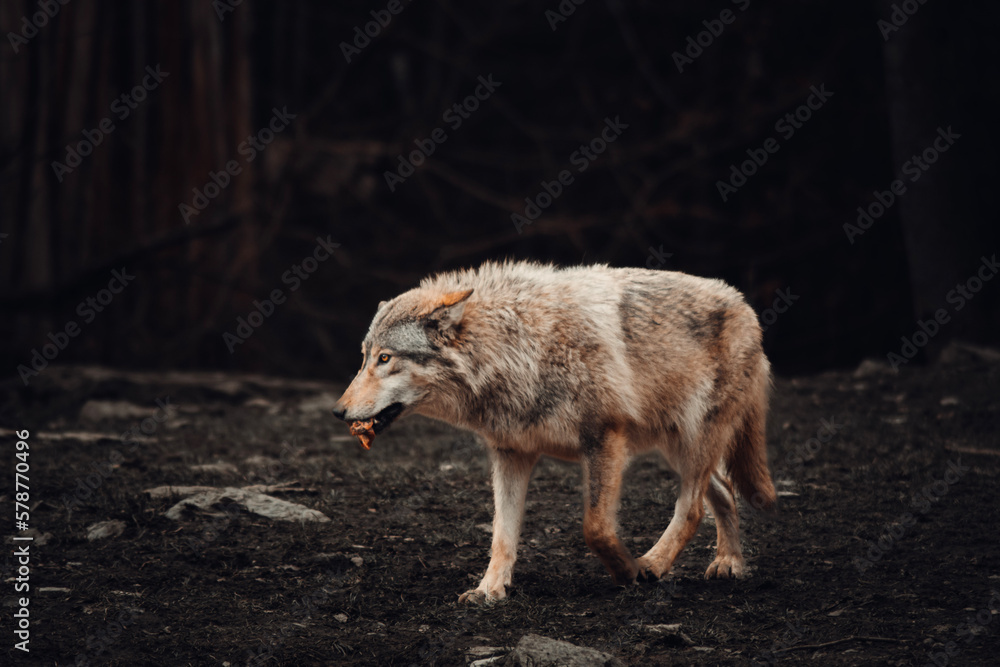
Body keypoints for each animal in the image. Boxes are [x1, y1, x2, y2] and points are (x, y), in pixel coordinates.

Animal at [333, 261, 776, 603]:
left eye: (385, 358)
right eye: (363, 358)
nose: (338, 411)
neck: (518, 349)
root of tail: (743, 303)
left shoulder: (604, 438)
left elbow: (595, 528)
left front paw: (627, 571)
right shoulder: (511, 454)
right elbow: (502, 535)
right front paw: (489, 591)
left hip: (691, 441)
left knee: (693, 507)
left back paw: (654, 564)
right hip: (676, 448)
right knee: (722, 491)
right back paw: (728, 562)